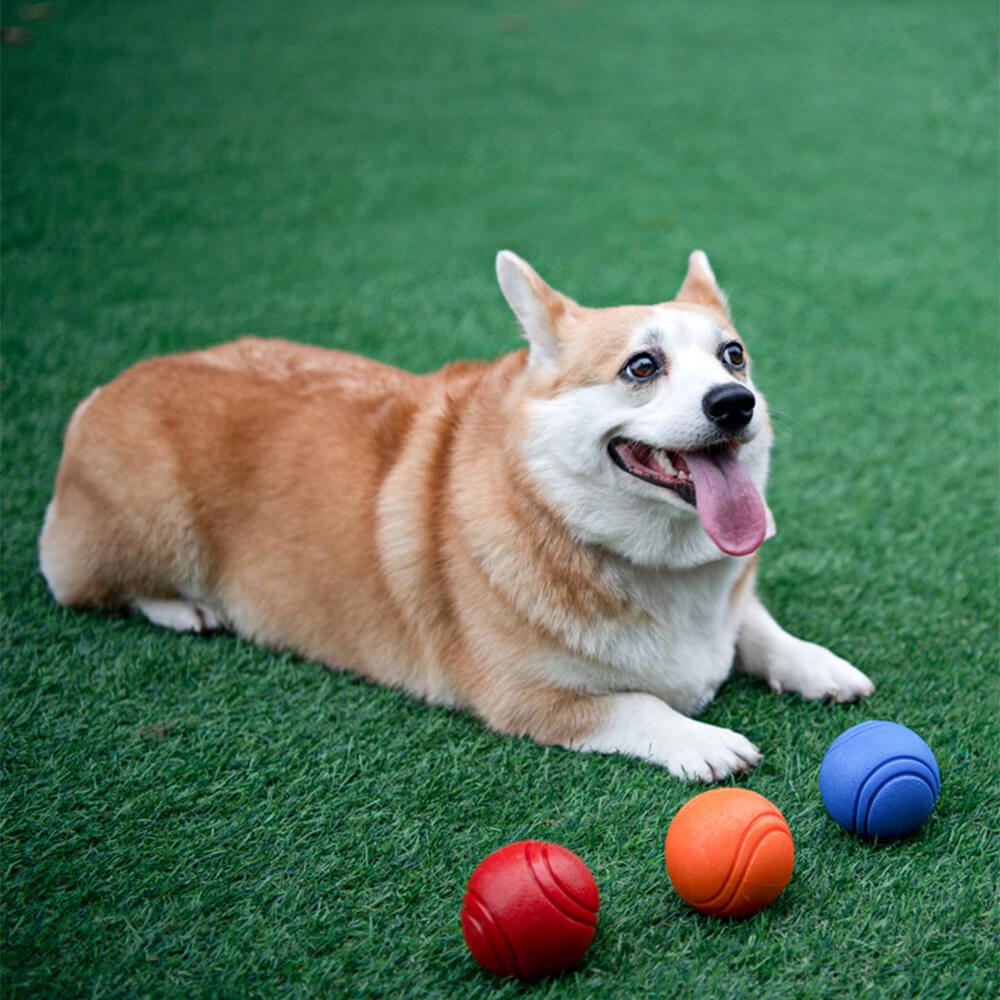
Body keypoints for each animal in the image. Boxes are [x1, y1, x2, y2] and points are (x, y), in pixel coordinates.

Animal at [39, 252, 872, 780]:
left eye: (734, 356)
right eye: (642, 367)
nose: (737, 404)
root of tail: (106, 388)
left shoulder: (731, 606)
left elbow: (757, 629)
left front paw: (819, 666)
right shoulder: (526, 698)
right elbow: (637, 705)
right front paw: (706, 740)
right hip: (148, 530)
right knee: (86, 584)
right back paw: (184, 609)